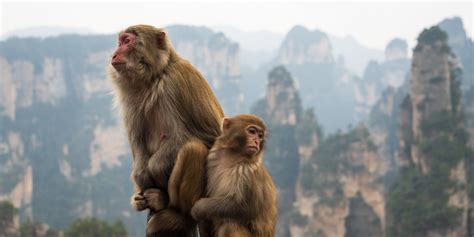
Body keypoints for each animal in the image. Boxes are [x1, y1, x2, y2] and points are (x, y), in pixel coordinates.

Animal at [108, 25, 225, 236]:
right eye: (119, 42)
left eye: (127, 41)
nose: (114, 54)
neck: (153, 78)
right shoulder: (130, 99)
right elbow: (138, 146)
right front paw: (141, 176)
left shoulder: (177, 82)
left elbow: (209, 137)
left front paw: (156, 165)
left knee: (193, 149)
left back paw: (174, 209)